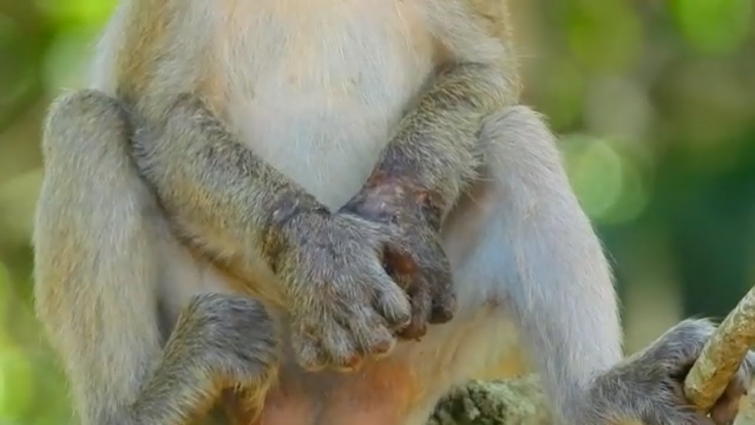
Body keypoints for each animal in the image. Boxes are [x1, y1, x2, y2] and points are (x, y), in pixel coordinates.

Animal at [32, 0, 753, 424]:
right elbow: (159, 108)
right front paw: (318, 255)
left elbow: (482, 67)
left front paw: (394, 212)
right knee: (85, 124)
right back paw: (144, 407)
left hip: (429, 349)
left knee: (508, 133)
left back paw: (601, 397)